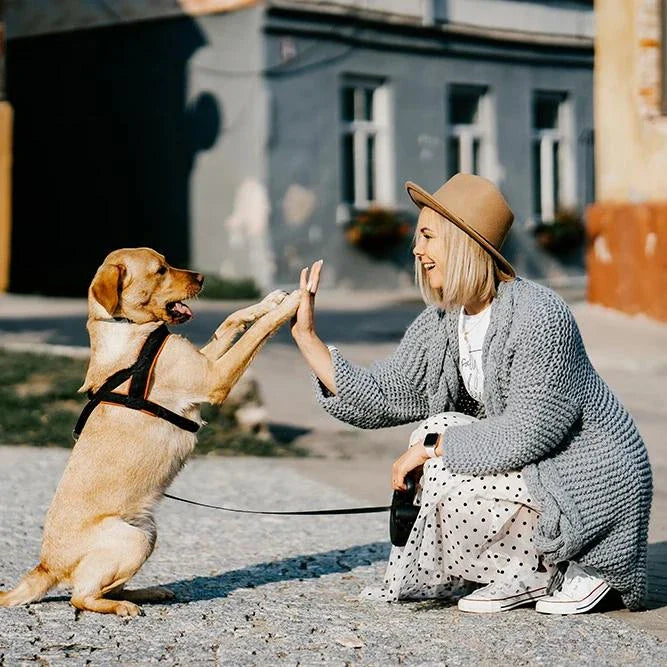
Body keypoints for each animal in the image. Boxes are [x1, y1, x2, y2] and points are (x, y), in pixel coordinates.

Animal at [0, 249, 302, 616]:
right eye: (160, 271)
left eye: (168, 262)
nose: (202, 277)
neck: (128, 328)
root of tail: (46, 565)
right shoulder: (213, 377)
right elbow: (256, 334)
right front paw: (294, 302)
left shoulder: (204, 361)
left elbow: (231, 321)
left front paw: (270, 301)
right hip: (133, 540)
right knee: (81, 596)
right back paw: (123, 607)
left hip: (148, 532)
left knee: (105, 587)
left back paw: (146, 592)